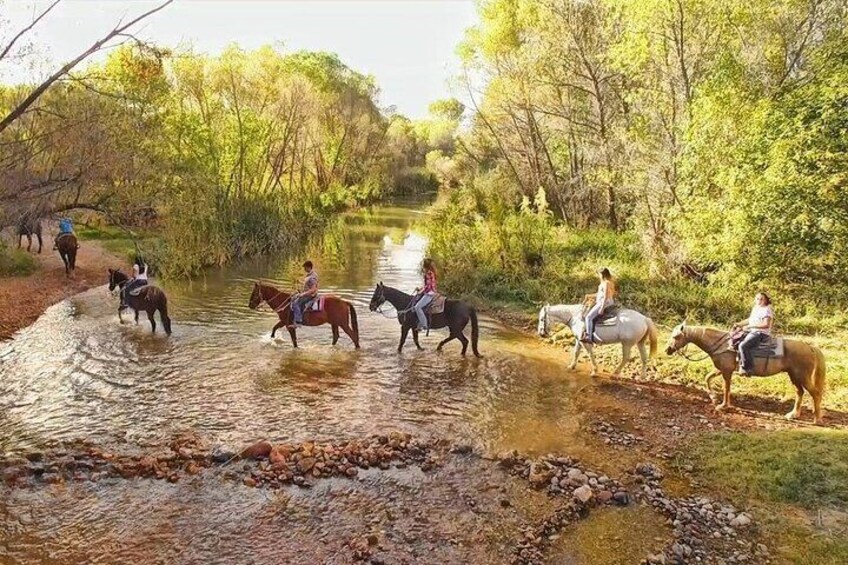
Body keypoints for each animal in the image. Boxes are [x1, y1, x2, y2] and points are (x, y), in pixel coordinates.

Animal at [536, 302, 664, 376]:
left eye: (542, 319)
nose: (541, 334)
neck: (575, 317)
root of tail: (644, 319)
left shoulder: (585, 342)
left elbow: (590, 354)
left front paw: (594, 371)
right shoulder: (579, 340)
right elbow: (576, 353)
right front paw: (571, 366)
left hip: (627, 344)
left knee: (626, 358)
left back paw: (615, 373)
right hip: (640, 342)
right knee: (644, 358)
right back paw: (642, 376)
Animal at [664, 322, 824, 424]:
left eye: (676, 336)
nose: (667, 350)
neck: (723, 345)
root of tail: (810, 347)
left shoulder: (726, 371)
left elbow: (726, 388)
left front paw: (723, 406)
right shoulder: (720, 369)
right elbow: (707, 378)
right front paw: (713, 398)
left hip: (802, 376)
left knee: (815, 393)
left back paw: (817, 419)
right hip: (794, 375)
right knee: (800, 392)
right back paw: (793, 414)